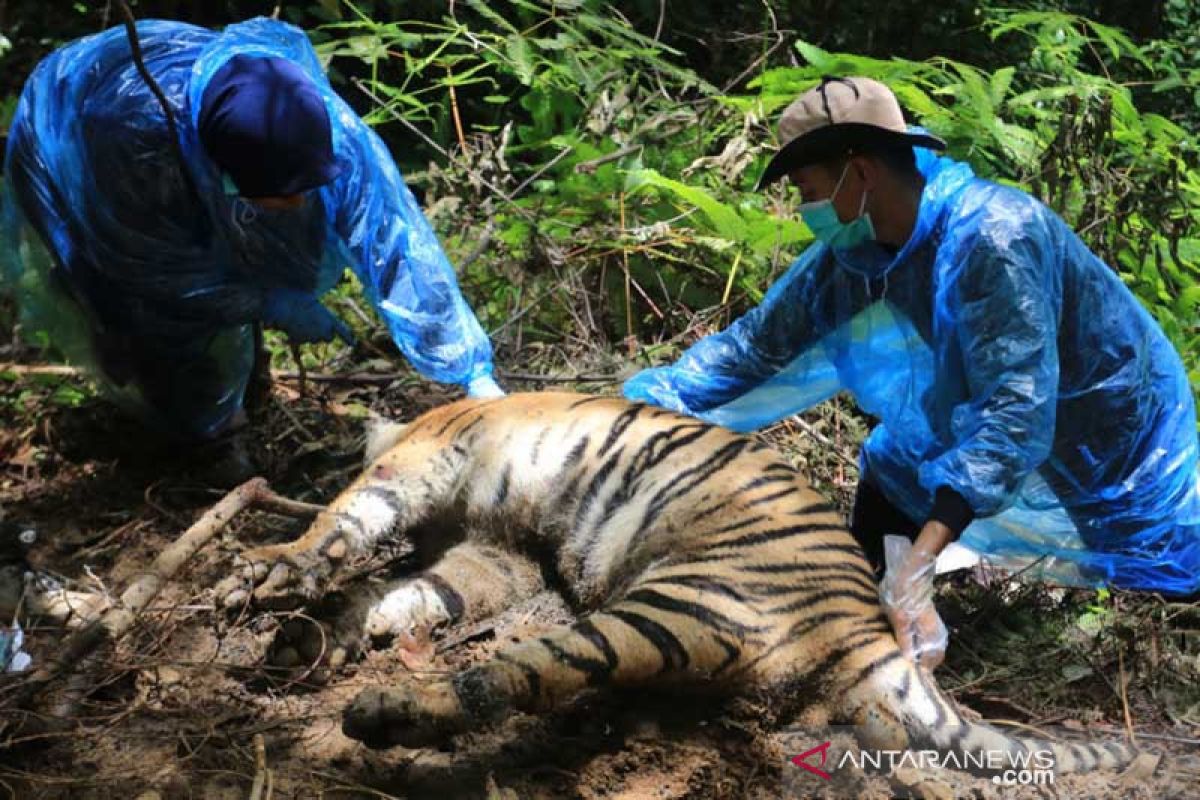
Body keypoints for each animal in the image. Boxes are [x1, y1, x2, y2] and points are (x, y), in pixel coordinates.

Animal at [218, 391, 1142, 777]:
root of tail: (869, 623)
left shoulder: (430, 459)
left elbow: (345, 520)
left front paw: (273, 574)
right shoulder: (497, 554)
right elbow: (407, 593)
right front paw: (321, 634)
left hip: (670, 604)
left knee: (508, 677)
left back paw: (389, 714)